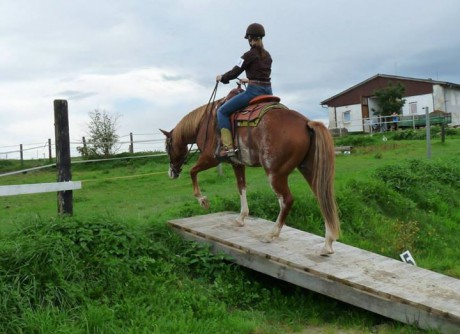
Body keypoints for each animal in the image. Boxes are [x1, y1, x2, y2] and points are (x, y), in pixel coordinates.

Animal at [160, 87, 340, 254]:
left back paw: (271, 234)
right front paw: (241, 217)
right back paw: (327, 244)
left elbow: (193, 172)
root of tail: (306, 123)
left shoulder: (211, 158)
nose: (171, 173)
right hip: (308, 169)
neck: (205, 123)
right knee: (321, 198)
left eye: (168, 147)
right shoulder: (237, 164)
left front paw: (203, 200)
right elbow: (241, 187)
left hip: (275, 173)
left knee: (286, 200)